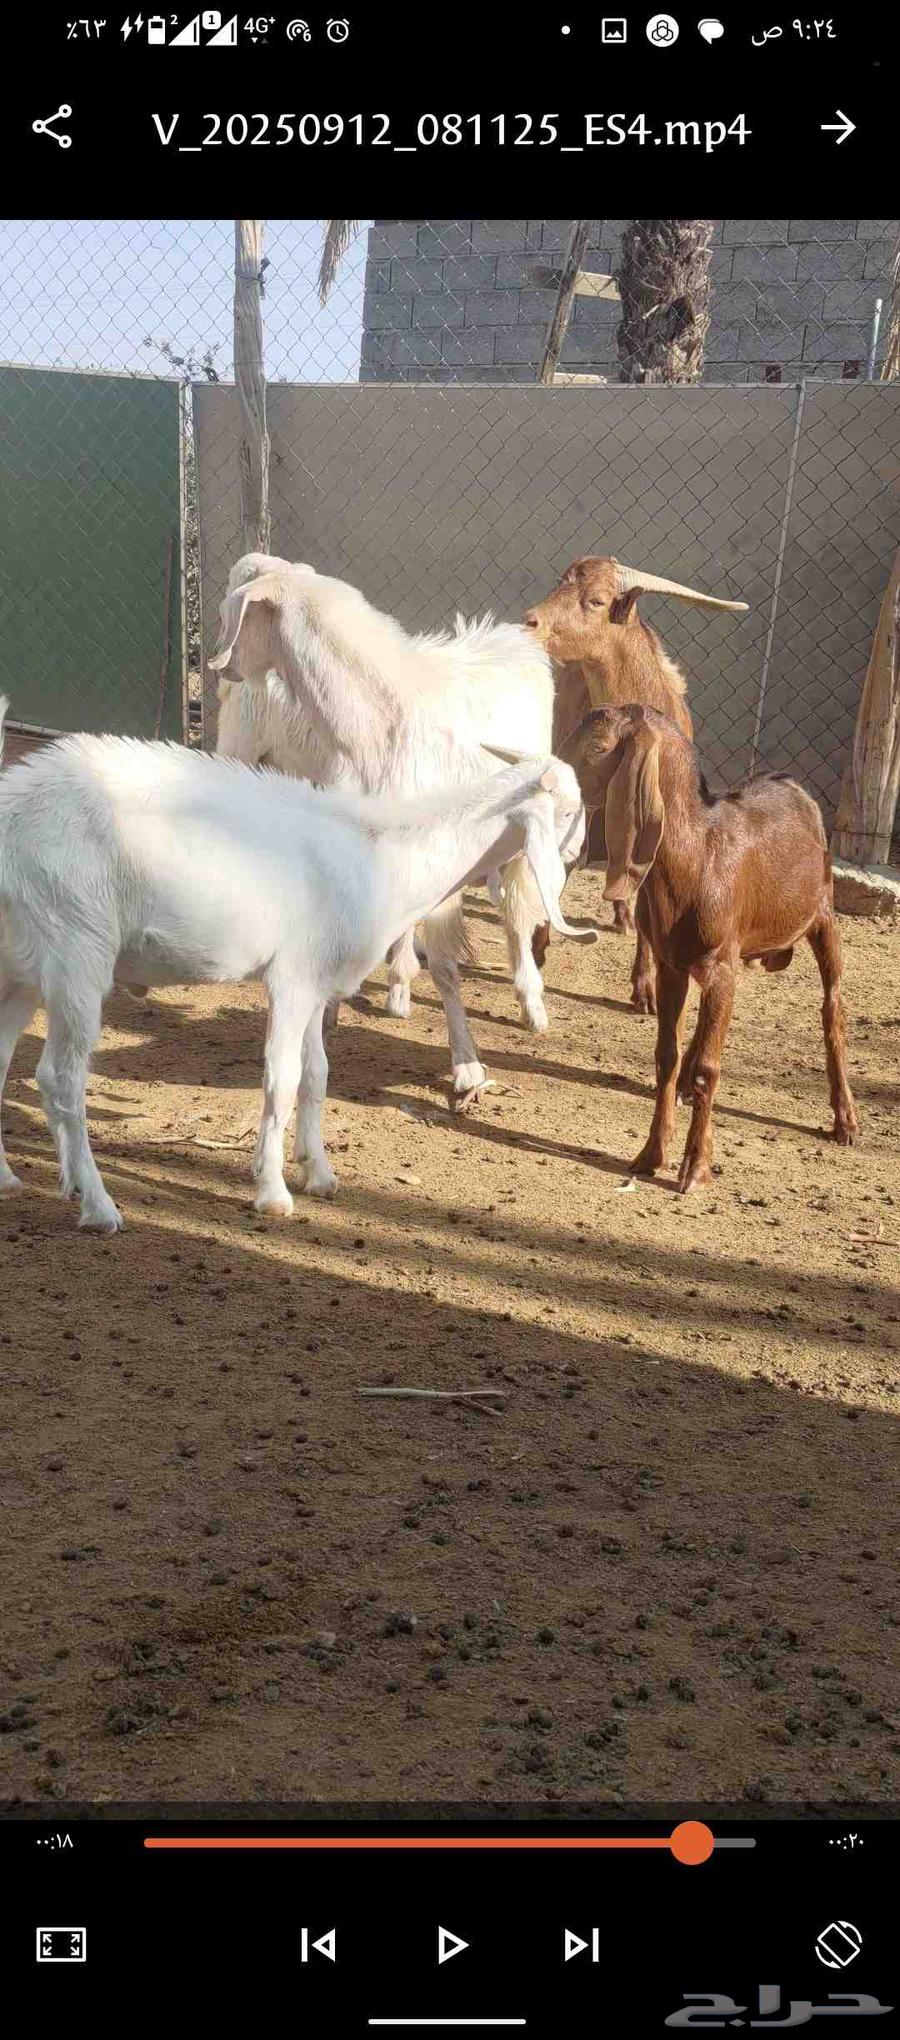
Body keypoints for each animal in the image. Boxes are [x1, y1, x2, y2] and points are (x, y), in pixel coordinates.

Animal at [0, 697, 595, 1233]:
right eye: (568, 810)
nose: (578, 856)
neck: (383, 859)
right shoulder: (291, 978)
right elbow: (281, 1079)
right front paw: (272, 1191)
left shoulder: (316, 982)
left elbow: (317, 1074)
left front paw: (319, 1172)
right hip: (77, 951)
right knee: (60, 1078)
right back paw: (98, 1206)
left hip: (19, 971)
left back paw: (17, 1180)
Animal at [211, 558, 556, 1104]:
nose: (220, 670)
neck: (380, 722)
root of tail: (511, 638)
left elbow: (446, 966)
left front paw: (467, 1067)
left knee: (518, 914)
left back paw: (531, 1004)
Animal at [524, 556, 748, 1011]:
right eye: (560, 584)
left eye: (596, 600)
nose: (530, 621)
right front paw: (538, 945)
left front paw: (644, 987)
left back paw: (623, 917)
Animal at [559, 704, 858, 1194]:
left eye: (599, 748)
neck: (698, 858)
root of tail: (788, 780)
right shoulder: (672, 964)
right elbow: (667, 1055)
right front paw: (650, 1155)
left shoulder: (722, 965)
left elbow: (708, 1069)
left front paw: (695, 1169)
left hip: (823, 916)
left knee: (832, 1010)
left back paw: (846, 1121)